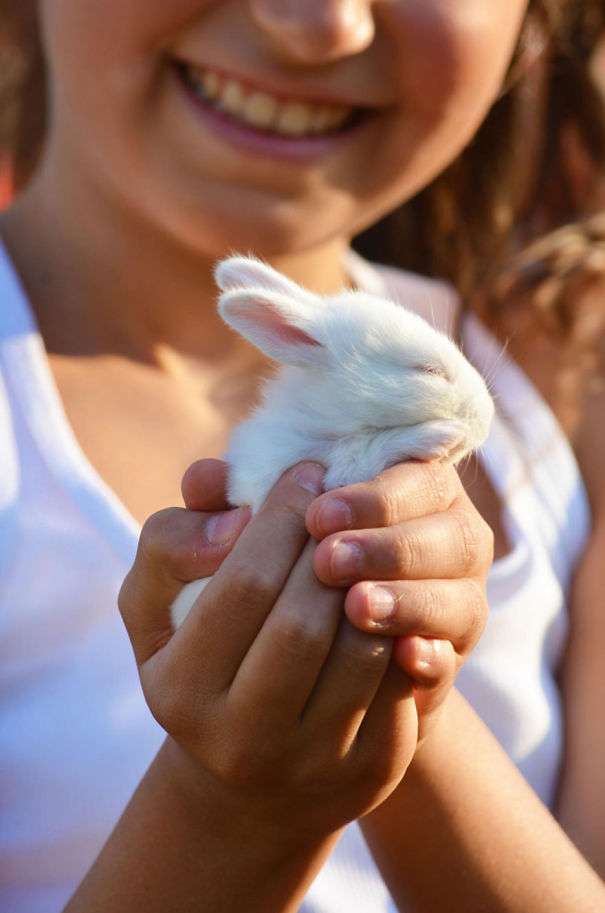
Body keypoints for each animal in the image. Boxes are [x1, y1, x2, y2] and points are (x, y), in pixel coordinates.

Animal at [171, 256, 496, 628]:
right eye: (428, 371)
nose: (487, 419)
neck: (323, 420)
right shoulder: (305, 471)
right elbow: (365, 452)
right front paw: (442, 437)